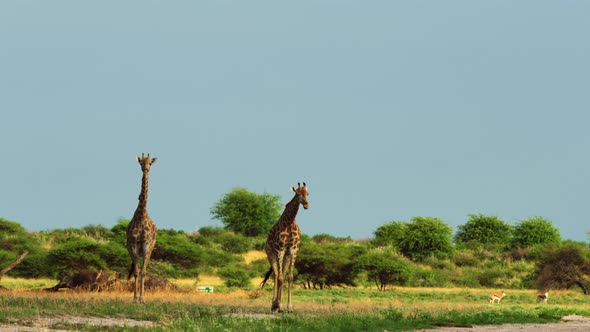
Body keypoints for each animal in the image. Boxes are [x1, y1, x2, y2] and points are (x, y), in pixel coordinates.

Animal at [262, 180, 312, 312]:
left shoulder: (293, 251)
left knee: (282, 274)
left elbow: (289, 277)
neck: (290, 222)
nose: (306, 205)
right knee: (276, 275)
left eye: (307, 194)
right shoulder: (280, 250)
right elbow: (279, 277)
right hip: (271, 254)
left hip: (286, 256)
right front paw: (278, 305)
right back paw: (274, 304)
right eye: (298, 193)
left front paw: (289, 307)